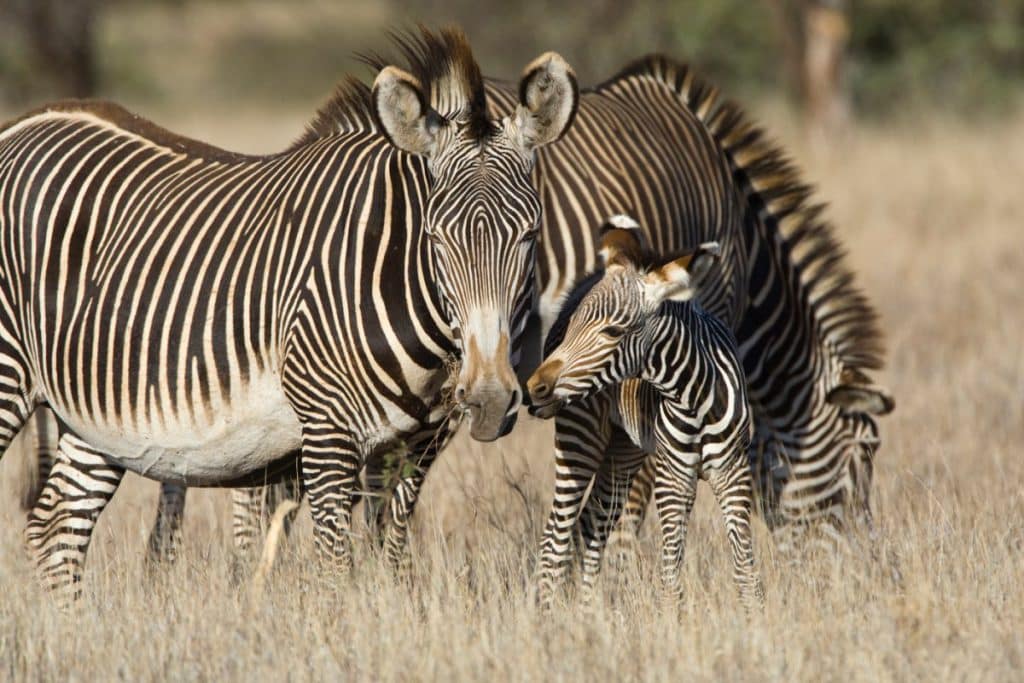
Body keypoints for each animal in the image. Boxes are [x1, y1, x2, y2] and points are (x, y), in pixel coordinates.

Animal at [0, 27, 579, 600]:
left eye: (530, 236)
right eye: (435, 239)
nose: (488, 399)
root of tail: (22, 125)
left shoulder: (416, 445)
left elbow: (390, 555)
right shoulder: (326, 435)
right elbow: (335, 571)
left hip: (94, 415)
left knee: (55, 530)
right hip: (13, 375)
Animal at [527, 217, 764, 610]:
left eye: (613, 332)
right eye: (576, 327)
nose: (534, 388)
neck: (696, 398)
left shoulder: (734, 473)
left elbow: (746, 571)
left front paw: (755, 619)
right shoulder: (673, 479)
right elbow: (670, 580)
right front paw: (672, 622)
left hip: (625, 448)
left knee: (593, 523)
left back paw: (589, 614)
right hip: (580, 435)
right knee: (555, 537)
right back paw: (546, 616)